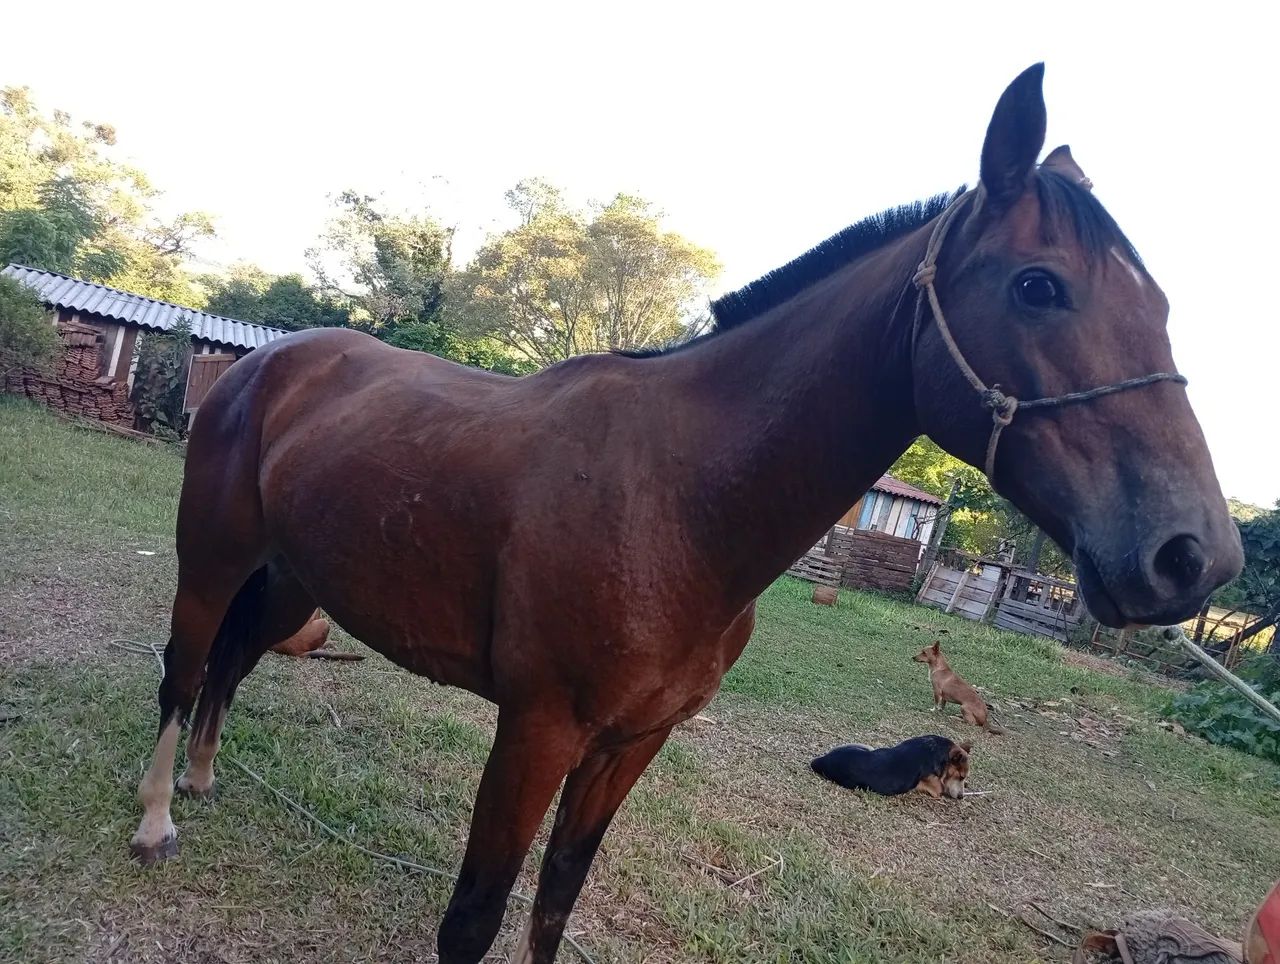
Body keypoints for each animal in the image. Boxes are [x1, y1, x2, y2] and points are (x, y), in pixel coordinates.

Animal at [127, 64, 1242, 963]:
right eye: (1037, 286)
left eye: (1159, 307)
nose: (1195, 556)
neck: (677, 502)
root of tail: (269, 360)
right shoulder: (537, 729)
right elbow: (473, 918)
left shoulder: (632, 743)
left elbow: (555, 900)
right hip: (212, 561)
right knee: (184, 671)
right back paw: (153, 824)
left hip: (291, 580)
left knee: (230, 666)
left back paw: (204, 781)